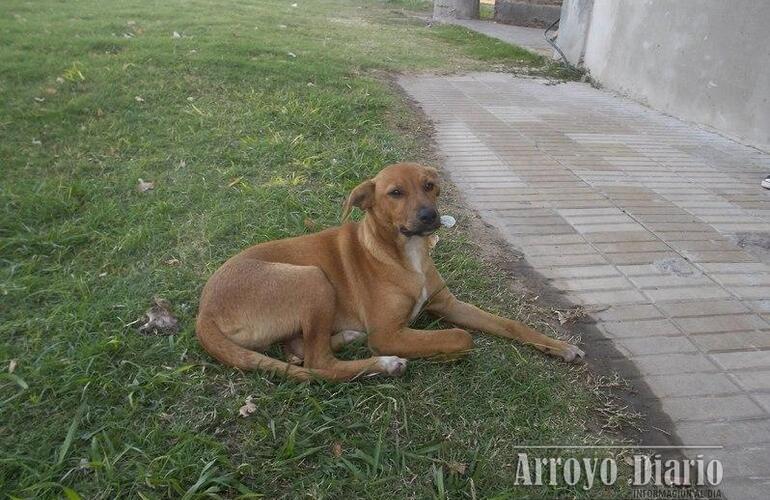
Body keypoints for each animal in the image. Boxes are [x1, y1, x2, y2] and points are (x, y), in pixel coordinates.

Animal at [196, 162, 584, 380]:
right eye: (395, 193)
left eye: (429, 185)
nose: (430, 216)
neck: (405, 255)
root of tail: (203, 312)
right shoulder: (386, 332)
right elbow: (462, 337)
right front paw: (447, 350)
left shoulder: (448, 303)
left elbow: (510, 324)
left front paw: (560, 346)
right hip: (313, 278)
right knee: (318, 363)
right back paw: (384, 364)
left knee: (300, 350)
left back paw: (346, 338)